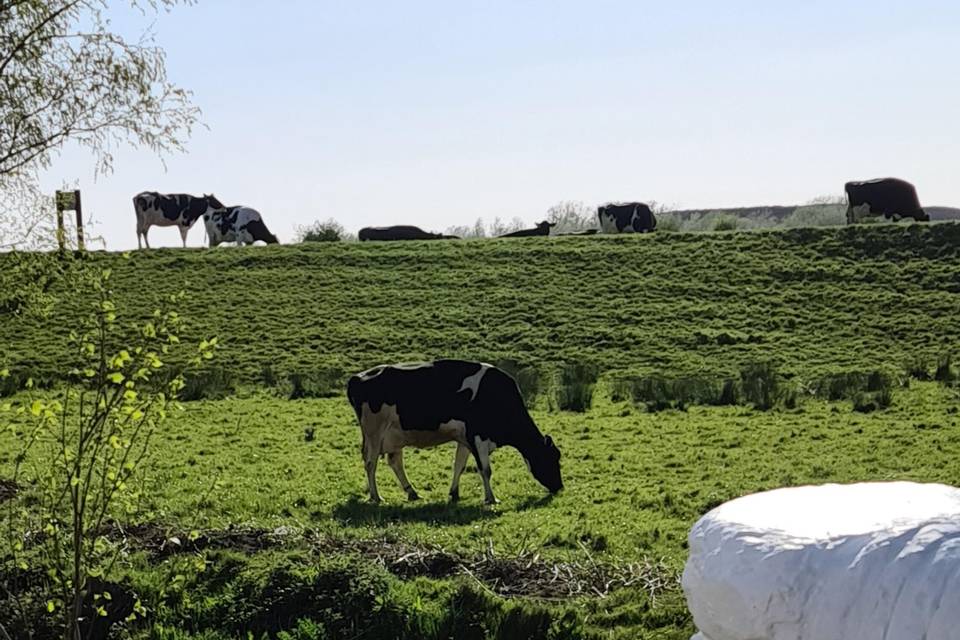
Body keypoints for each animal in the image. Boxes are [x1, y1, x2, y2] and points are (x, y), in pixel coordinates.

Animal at [346, 360, 564, 504]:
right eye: (551, 459)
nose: (560, 487)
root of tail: (357, 376)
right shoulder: (478, 436)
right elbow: (485, 469)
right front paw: (491, 498)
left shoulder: (465, 439)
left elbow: (459, 465)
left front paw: (454, 493)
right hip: (375, 433)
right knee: (371, 463)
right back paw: (376, 496)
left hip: (394, 435)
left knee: (394, 462)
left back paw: (412, 492)